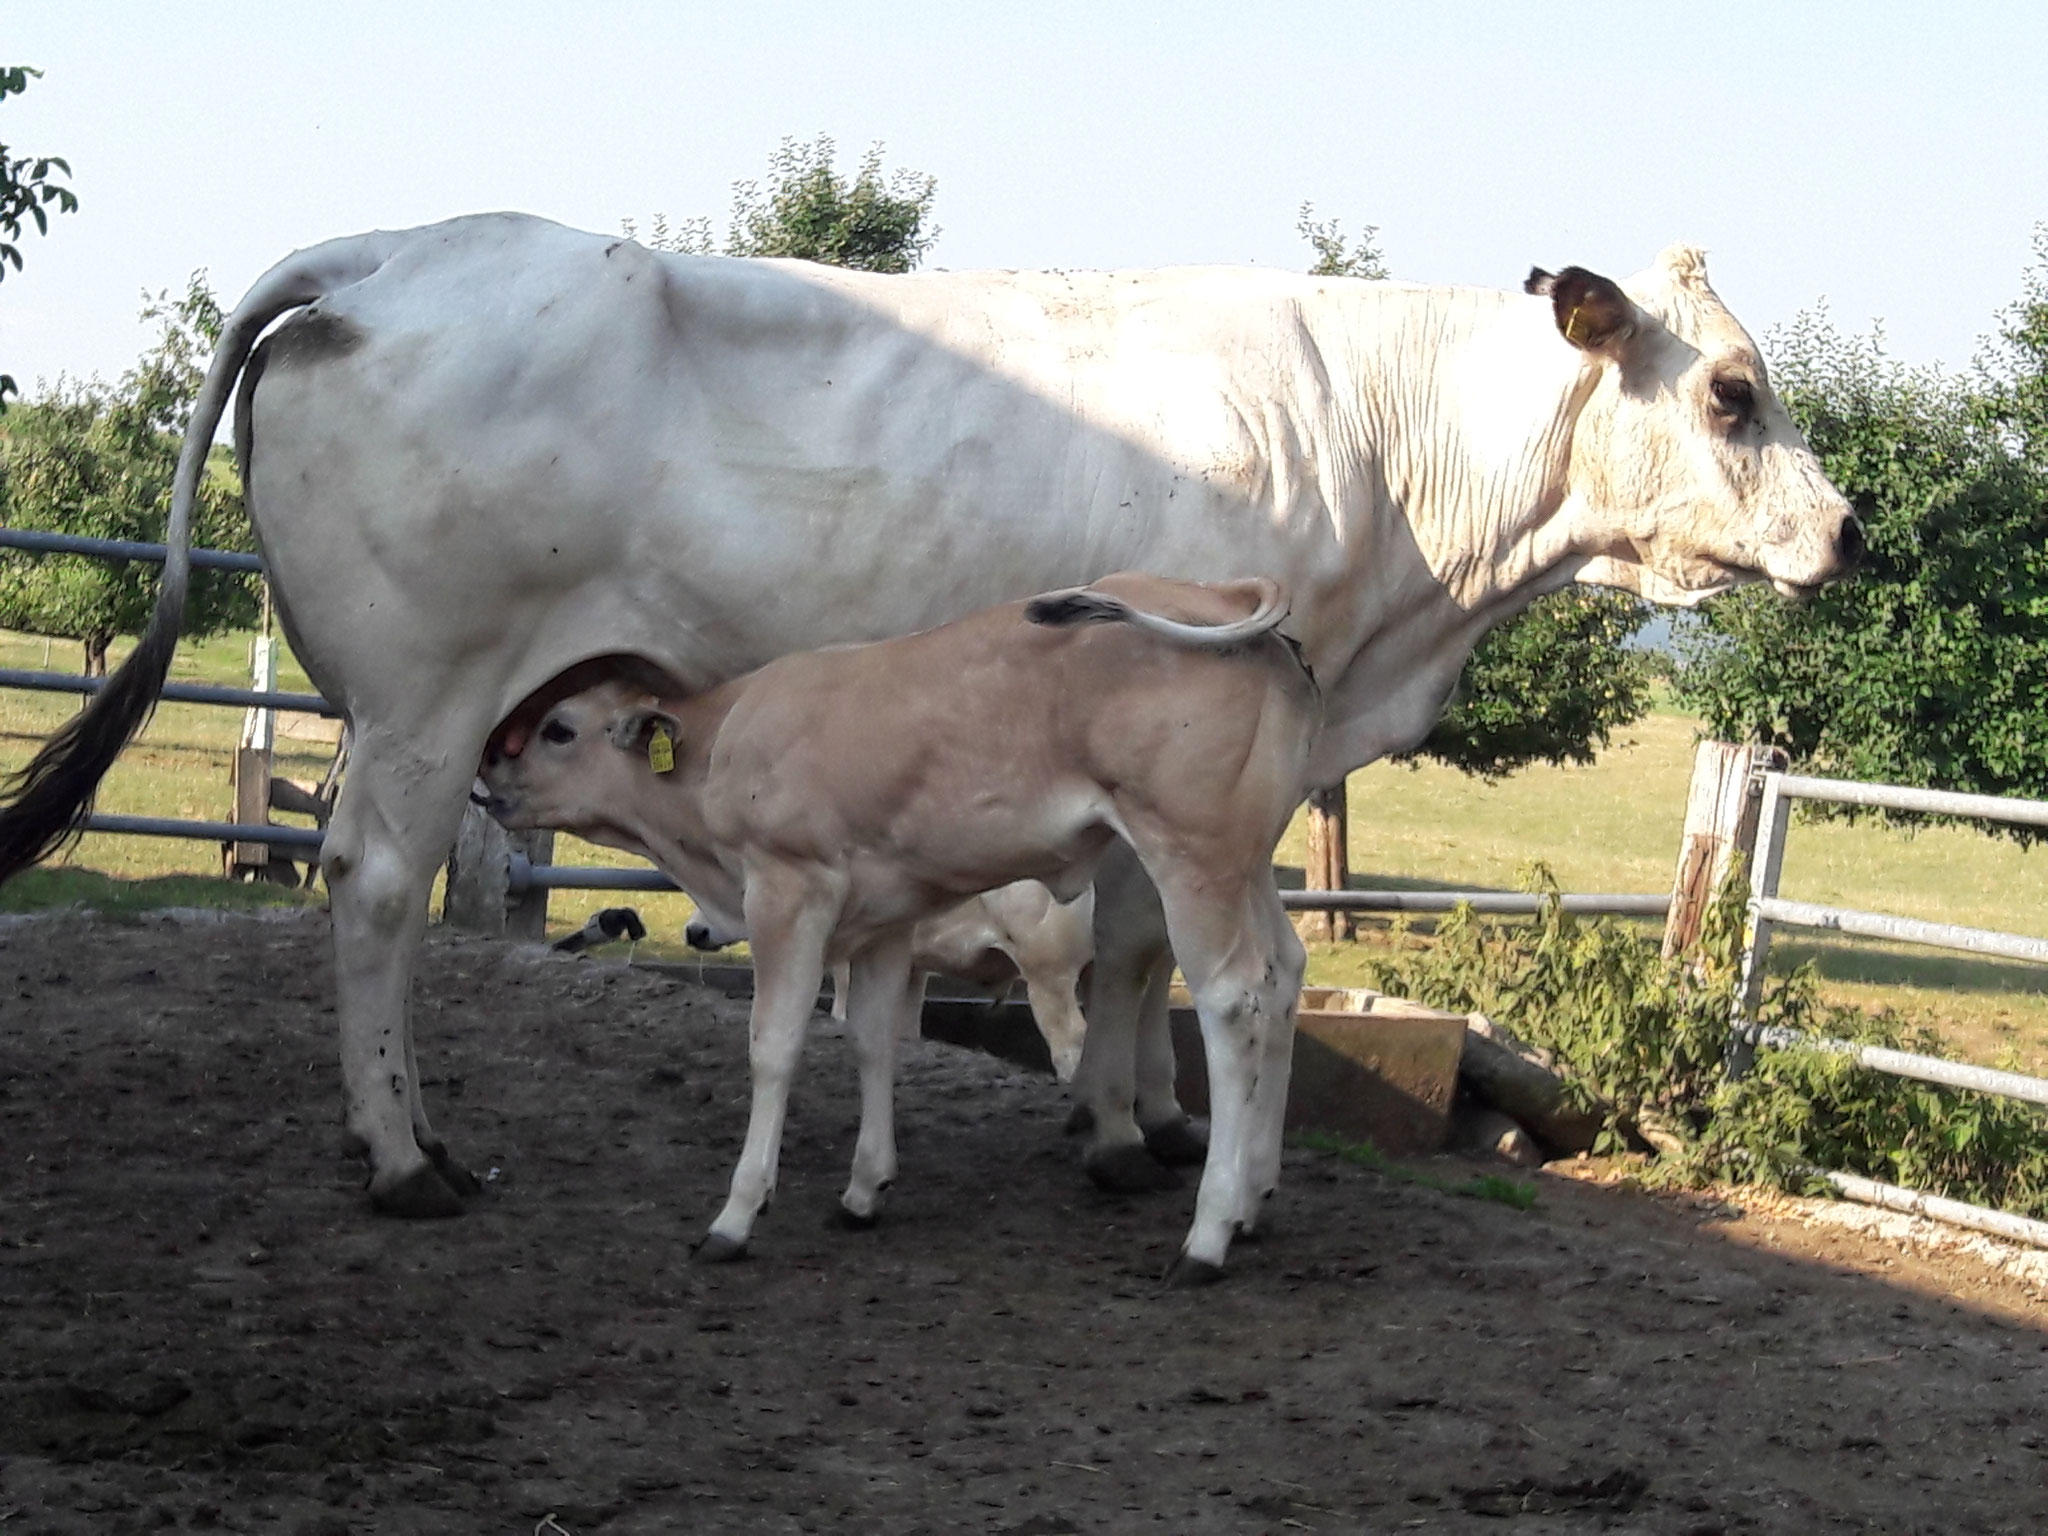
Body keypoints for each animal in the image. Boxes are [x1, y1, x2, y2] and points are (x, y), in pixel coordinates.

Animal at [479, 573, 1310, 1277]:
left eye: (559, 729)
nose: (489, 777)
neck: (723, 746)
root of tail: (1220, 592)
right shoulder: (884, 921)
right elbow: (875, 1042)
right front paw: (864, 1190)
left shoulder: (788, 891)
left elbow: (773, 1048)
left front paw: (736, 1215)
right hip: (1246, 864)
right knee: (1283, 977)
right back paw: (1254, 1202)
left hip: (1191, 856)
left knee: (1232, 1002)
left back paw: (1208, 1234)